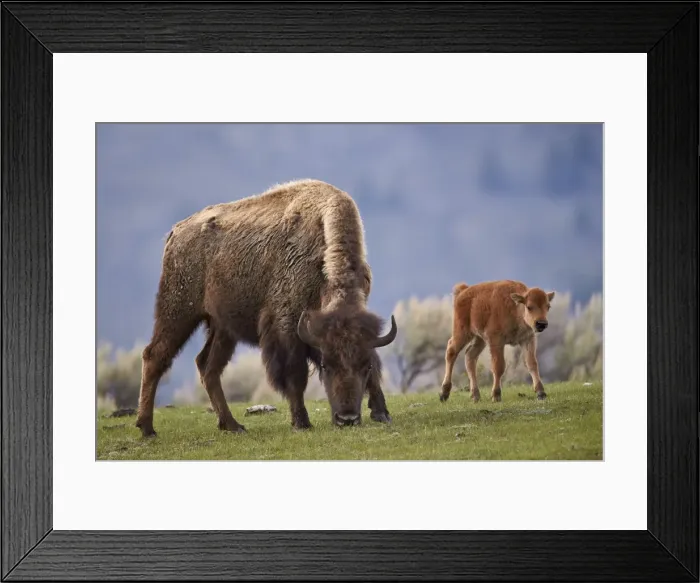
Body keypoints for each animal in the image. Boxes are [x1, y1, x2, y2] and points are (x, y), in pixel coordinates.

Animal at [135, 179, 397, 438]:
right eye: (326, 365)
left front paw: (382, 413)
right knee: (154, 356)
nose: (347, 419)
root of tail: (176, 231)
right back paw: (147, 428)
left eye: (365, 365)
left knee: (208, 366)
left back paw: (232, 425)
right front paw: (301, 422)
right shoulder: (287, 328)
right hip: (178, 311)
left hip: (222, 328)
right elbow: (295, 375)